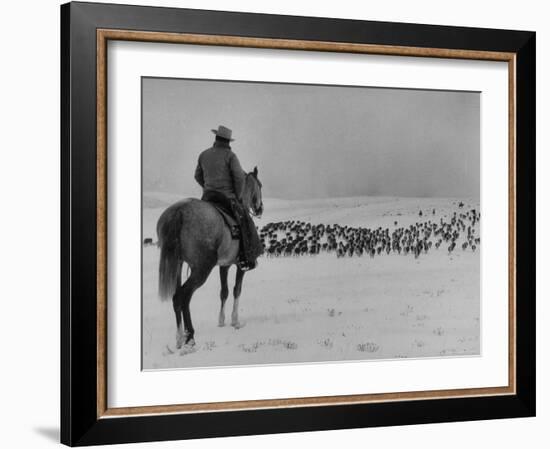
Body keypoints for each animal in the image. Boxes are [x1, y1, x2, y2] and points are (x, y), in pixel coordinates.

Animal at [157, 166, 266, 352]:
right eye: (259, 185)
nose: (260, 208)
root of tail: (179, 211)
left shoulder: (224, 265)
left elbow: (224, 292)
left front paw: (221, 321)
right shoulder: (240, 265)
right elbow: (237, 290)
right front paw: (235, 321)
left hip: (178, 265)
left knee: (177, 298)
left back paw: (179, 338)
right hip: (201, 269)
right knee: (183, 296)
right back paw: (190, 337)